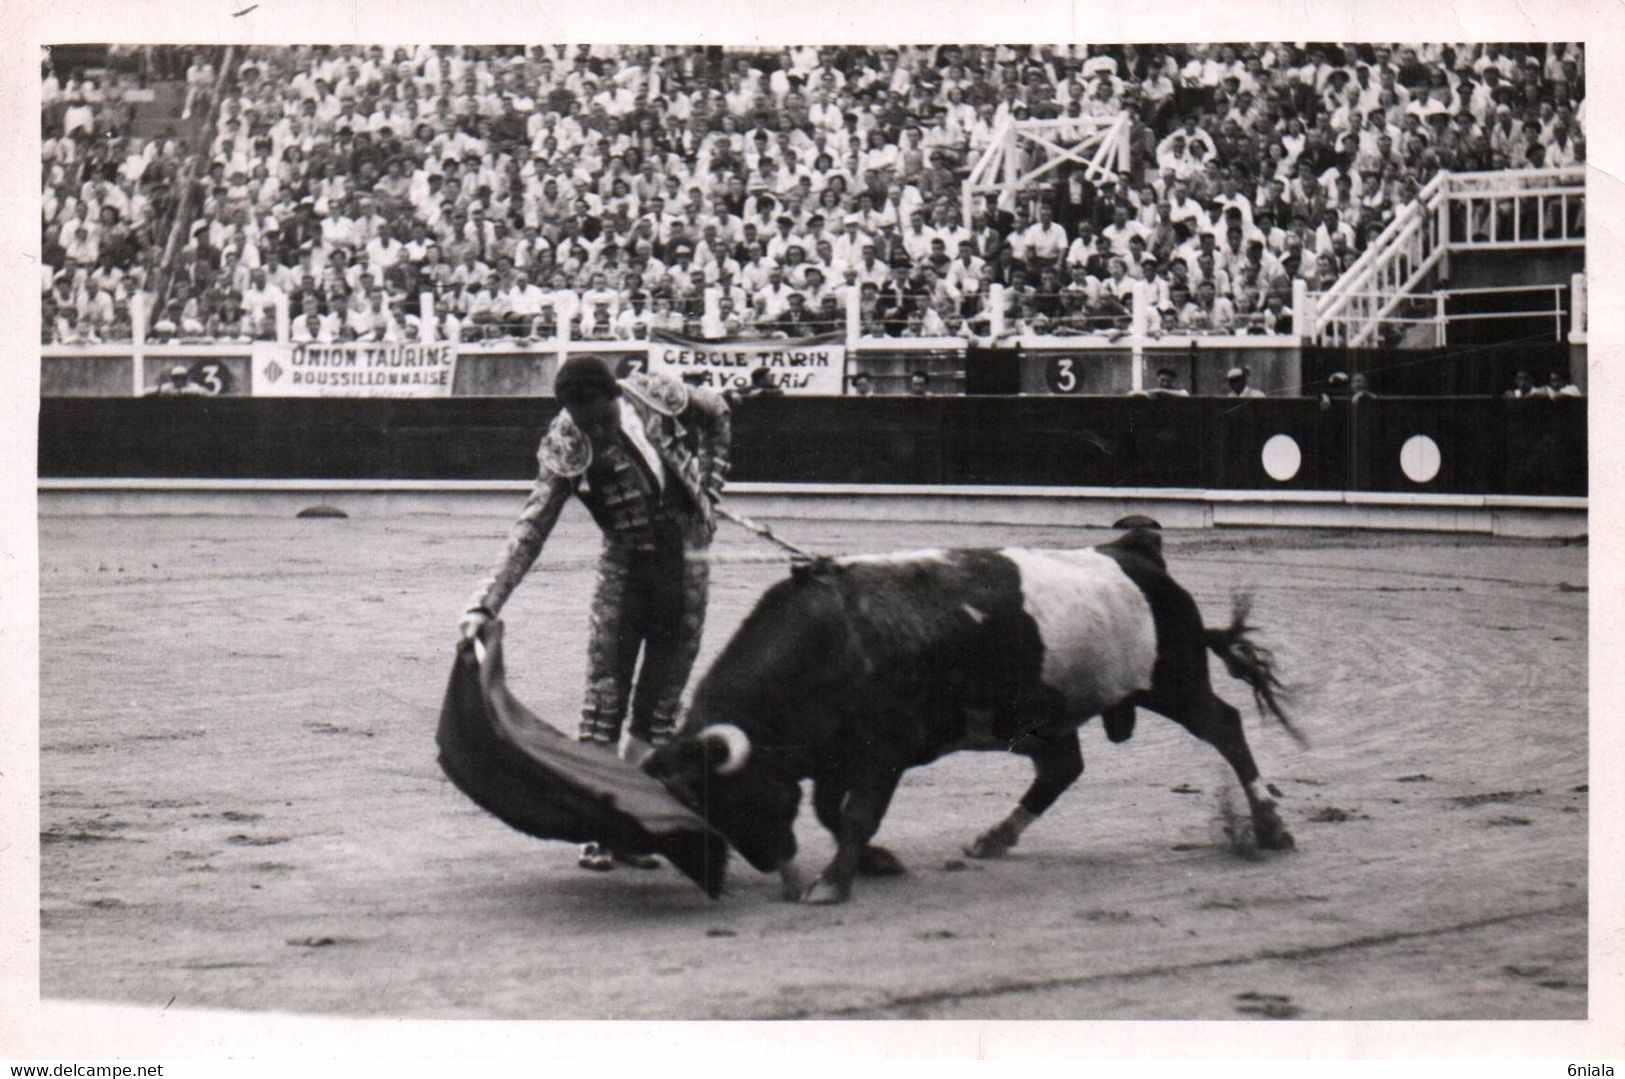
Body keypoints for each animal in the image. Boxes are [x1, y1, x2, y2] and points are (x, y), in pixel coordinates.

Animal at [640, 529, 1300, 903]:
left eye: (733, 795)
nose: (772, 865)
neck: (834, 640)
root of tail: (1137, 558)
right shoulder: (838, 757)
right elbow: (834, 811)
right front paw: (875, 863)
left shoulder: (882, 754)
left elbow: (855, 814)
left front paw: (831, 884)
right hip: (1044, 718)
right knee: (1063, 768)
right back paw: (995, 837)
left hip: (1175, 683)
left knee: (1225, 728)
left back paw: (1271, 826)